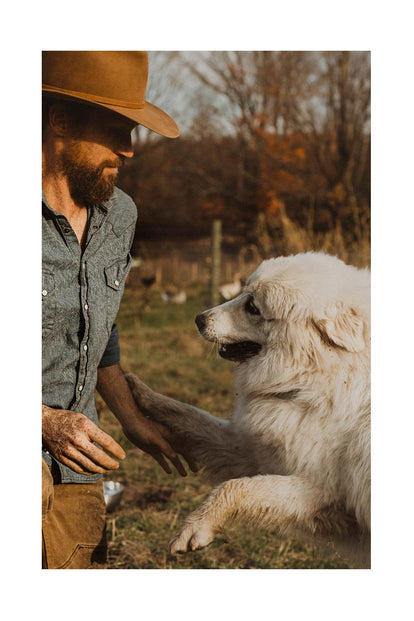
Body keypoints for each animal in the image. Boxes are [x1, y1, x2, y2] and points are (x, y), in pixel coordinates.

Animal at [126, 252, 372, 568]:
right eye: (244, 292)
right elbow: (189, 416)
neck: (319, 376)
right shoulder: (251, 451)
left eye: (253, 307)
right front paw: (139, 392)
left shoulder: (323, 490)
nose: (198, 319)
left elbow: (235, 487)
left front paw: (195, 528)